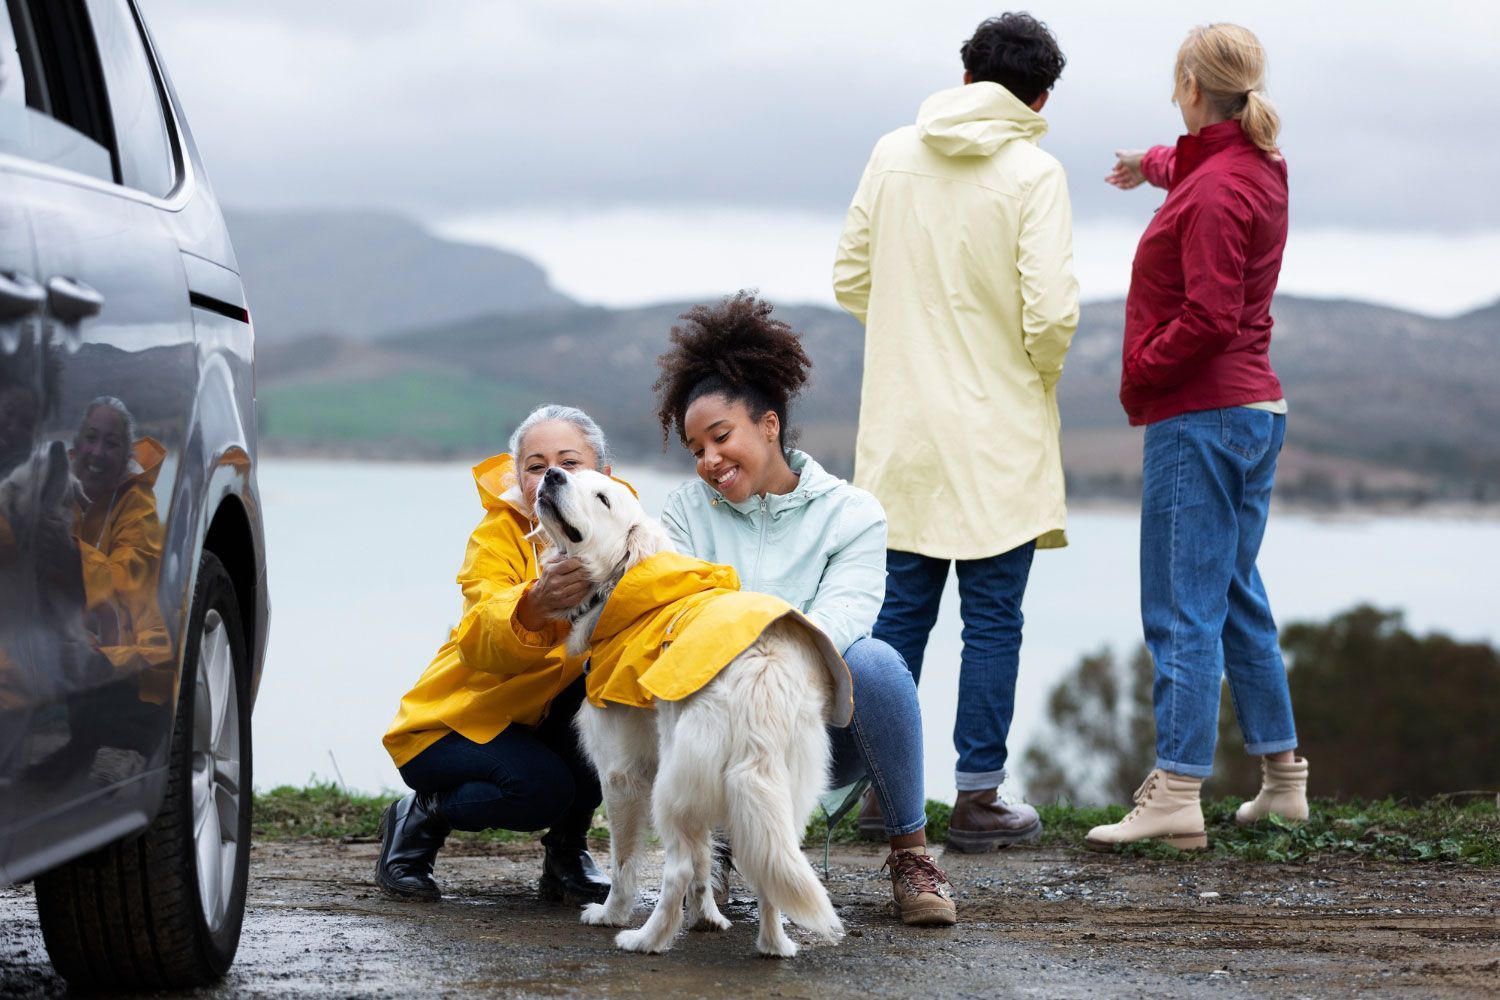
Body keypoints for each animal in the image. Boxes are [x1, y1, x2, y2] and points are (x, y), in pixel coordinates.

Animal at [537, 464, 846, 959]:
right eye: (575, 474)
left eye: (602, 498)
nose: (552, 473)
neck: (624, 582)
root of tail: (762, 671)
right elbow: (705, 863)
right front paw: (707, 918)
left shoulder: (622, 773)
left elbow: (625, 862)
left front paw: (610, 913)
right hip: (778, 792)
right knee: (767, 865)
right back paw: (774, 945)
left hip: (670, 790)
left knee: (676, 868)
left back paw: (644, 939)